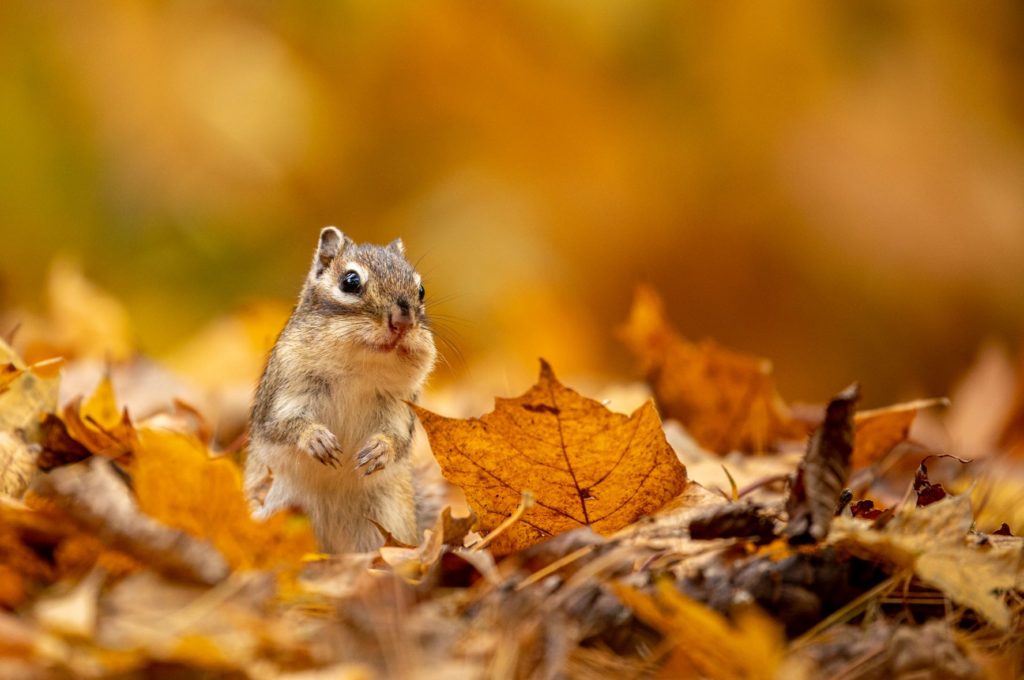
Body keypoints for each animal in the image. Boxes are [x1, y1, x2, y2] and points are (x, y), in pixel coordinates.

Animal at [250, 227, 440, 553]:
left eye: (421, 290)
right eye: (350, 281)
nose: (403, 321)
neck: (359, 372)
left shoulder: (398, 407)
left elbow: (398, 439)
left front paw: (380, 450)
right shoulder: (283, 394)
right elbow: (281, 426)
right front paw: (315, 438)